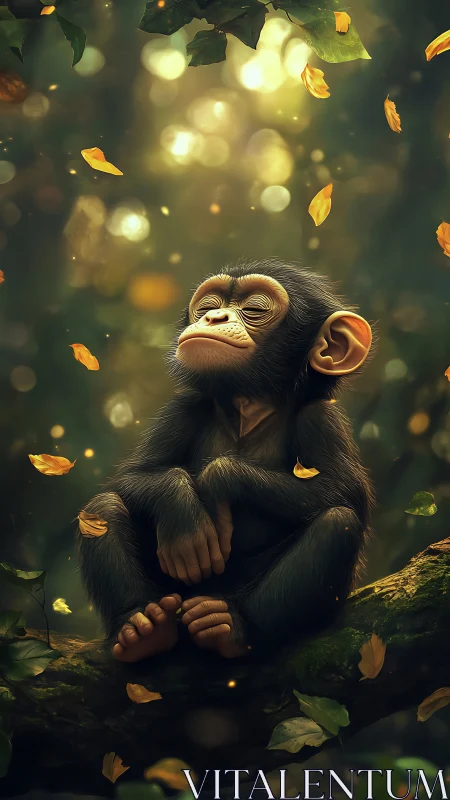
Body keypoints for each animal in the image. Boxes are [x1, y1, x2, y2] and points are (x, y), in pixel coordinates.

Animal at [77, 260, 374, 662]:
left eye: (254, 308)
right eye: (208, 305)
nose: (214, 317)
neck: (248, 405)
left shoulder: (321, 418)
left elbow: (342, 490)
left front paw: (217, 480)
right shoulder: (182, 408)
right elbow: (133, 476)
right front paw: (184, 514)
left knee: (337, 523)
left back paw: (231, 628)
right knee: (102, 508)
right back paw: (141, 629)